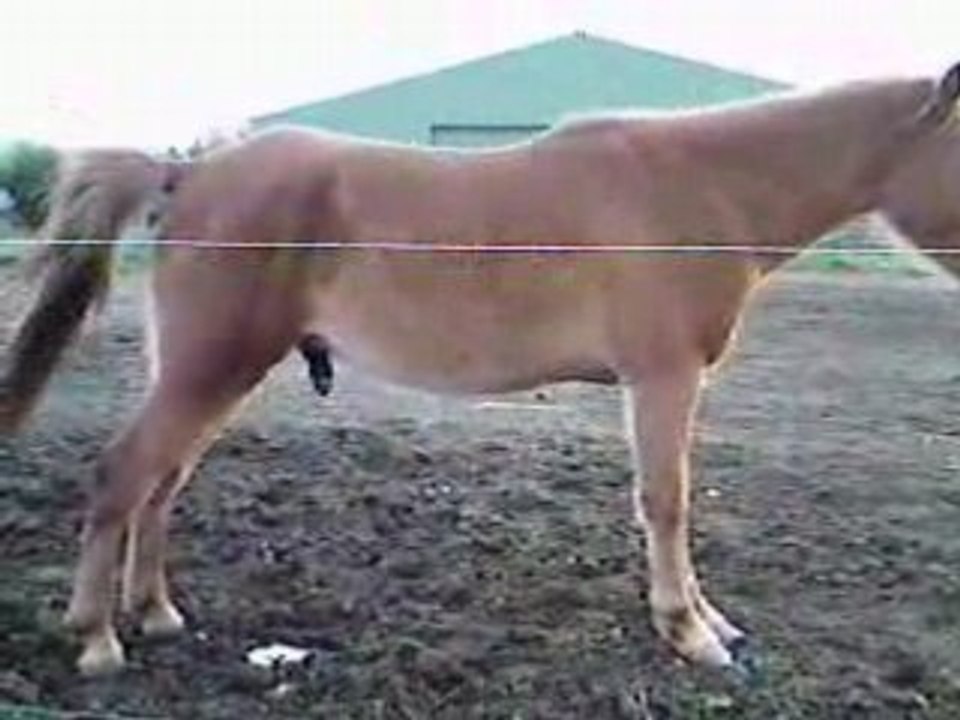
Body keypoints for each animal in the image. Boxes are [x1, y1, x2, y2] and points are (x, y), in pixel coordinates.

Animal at [1, 64, 958, 677]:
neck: (696, 186)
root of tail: (187, 170)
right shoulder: (663, 378)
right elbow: (667, 502)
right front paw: (693, 634)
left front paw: (708, 620)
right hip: (211, 367)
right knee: (125, 473)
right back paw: (97, 640)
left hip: (212, 371)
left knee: (160, 482)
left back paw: (156, 615)